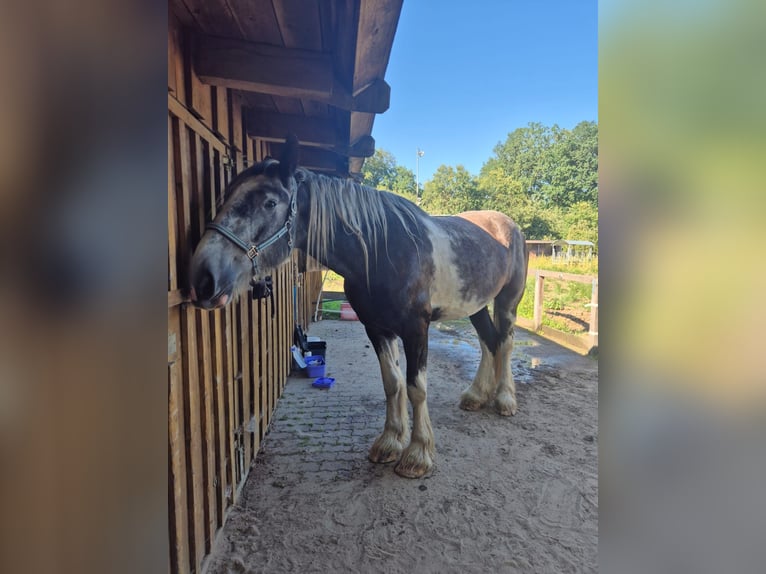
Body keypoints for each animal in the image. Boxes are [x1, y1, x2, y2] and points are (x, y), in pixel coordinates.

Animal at [189, 135, 529, 478]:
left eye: (269, 203)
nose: (203, 277)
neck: (383, 249)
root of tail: (510, 227)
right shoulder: (376, 328)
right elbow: (392, 383)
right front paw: (390, 442)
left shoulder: (416, 330)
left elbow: (416, 387)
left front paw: (417, 455)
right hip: (476, 305)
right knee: (488, 342)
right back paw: (476, 396)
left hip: (507, 303)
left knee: (505, 343)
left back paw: (504, 400)